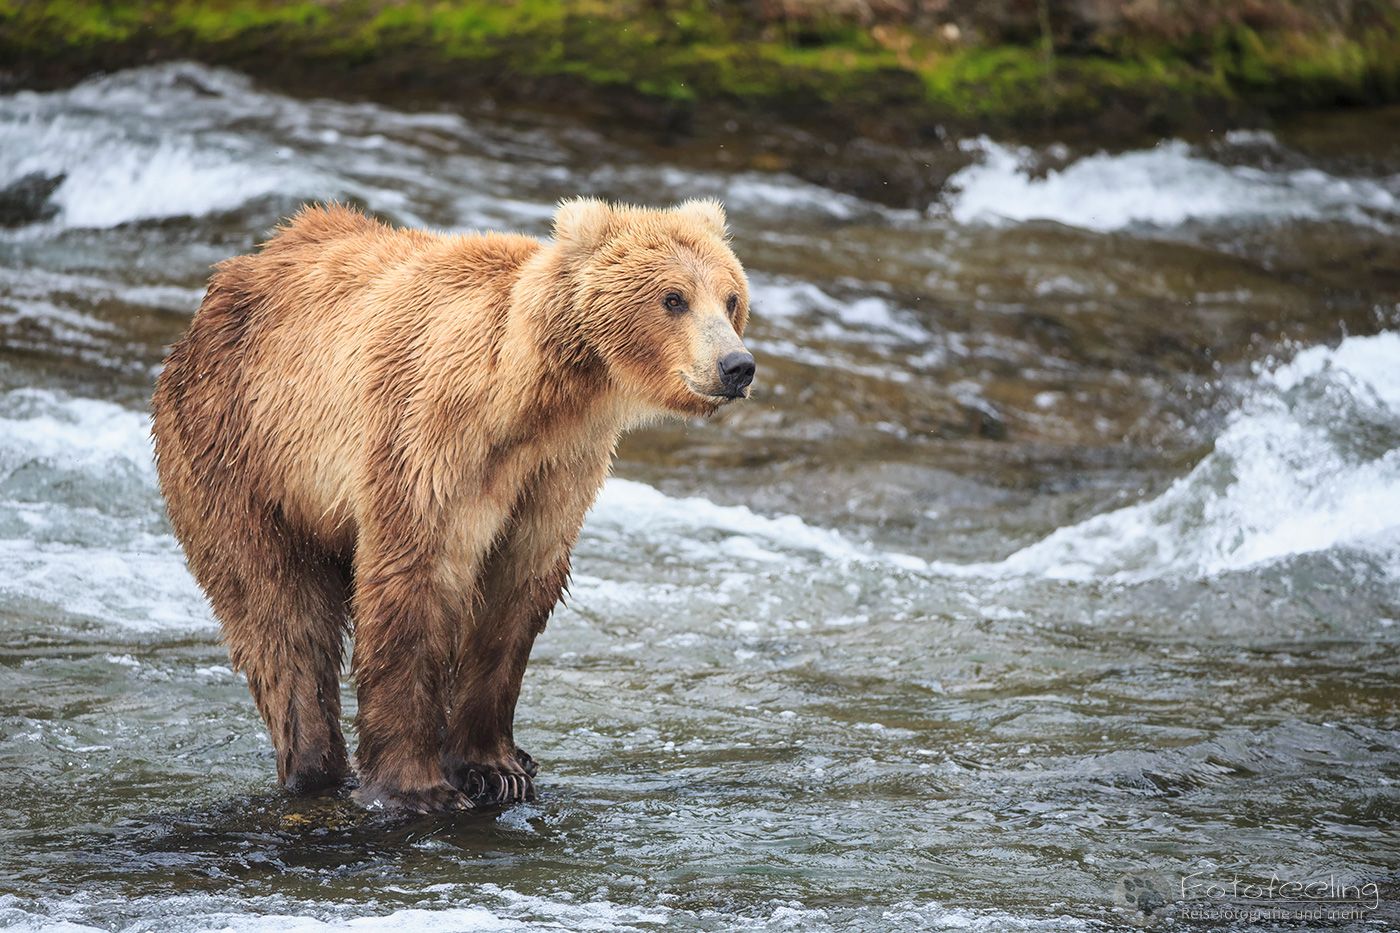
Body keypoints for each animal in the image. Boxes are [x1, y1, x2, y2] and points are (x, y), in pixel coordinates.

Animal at [150, 198, 754, 812]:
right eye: (674, 298)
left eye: (731, 297)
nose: (737, 366)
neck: (536, 400)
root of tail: (226, 281)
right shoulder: (434, 437)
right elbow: (416, 577)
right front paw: (419, 787)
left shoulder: (559, 471)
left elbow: (515, 596)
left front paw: (496, 767)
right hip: (239, 454)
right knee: (279, 614)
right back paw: (315, 764)